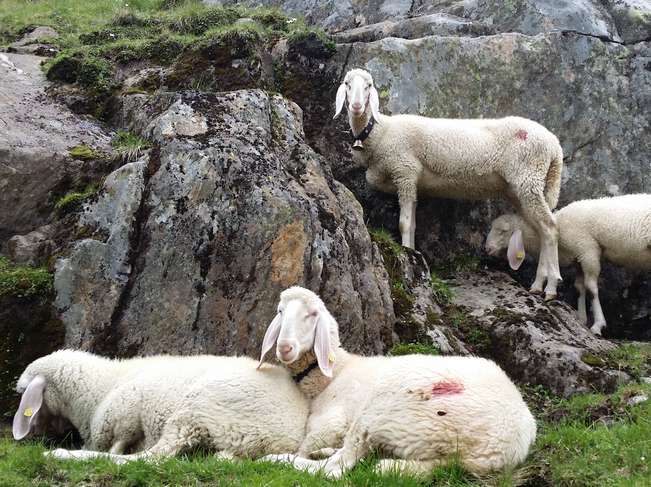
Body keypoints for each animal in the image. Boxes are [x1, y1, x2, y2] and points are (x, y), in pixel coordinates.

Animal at [14, 350, 310, 462]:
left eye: (23, 392)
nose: (31, 434)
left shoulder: (123, 417)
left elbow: (119, 447)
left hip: (195, 411)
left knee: (152, 457)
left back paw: (62, 454)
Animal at [258, 288, 536, 478]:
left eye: (313, 314)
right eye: (280, 311)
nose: (285, 347)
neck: (334, 374)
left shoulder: (331, 422)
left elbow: (307, 447)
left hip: (387, 412)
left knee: (336, 467)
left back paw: (273, 459)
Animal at [336, 67, 564, 300]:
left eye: (369, 86)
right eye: (347, 84)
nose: (356, 106)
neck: (381, 132)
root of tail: (554, 146)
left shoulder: (405, 171)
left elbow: (404, 223)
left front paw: (407, 253)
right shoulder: (411, 182)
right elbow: (413, 222)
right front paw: (414, 253)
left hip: (528, 179)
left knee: (550, 228)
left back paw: (551, 287)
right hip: (524, 188)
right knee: (541, 231)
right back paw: (538, 284)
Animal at [484, 193, 651, 336]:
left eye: (503, 231)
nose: (487, 249)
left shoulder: (588, 250)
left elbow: (591, 289)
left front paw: (597, 325)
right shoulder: (579, 258)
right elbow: (579, 287)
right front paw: (582, 318)